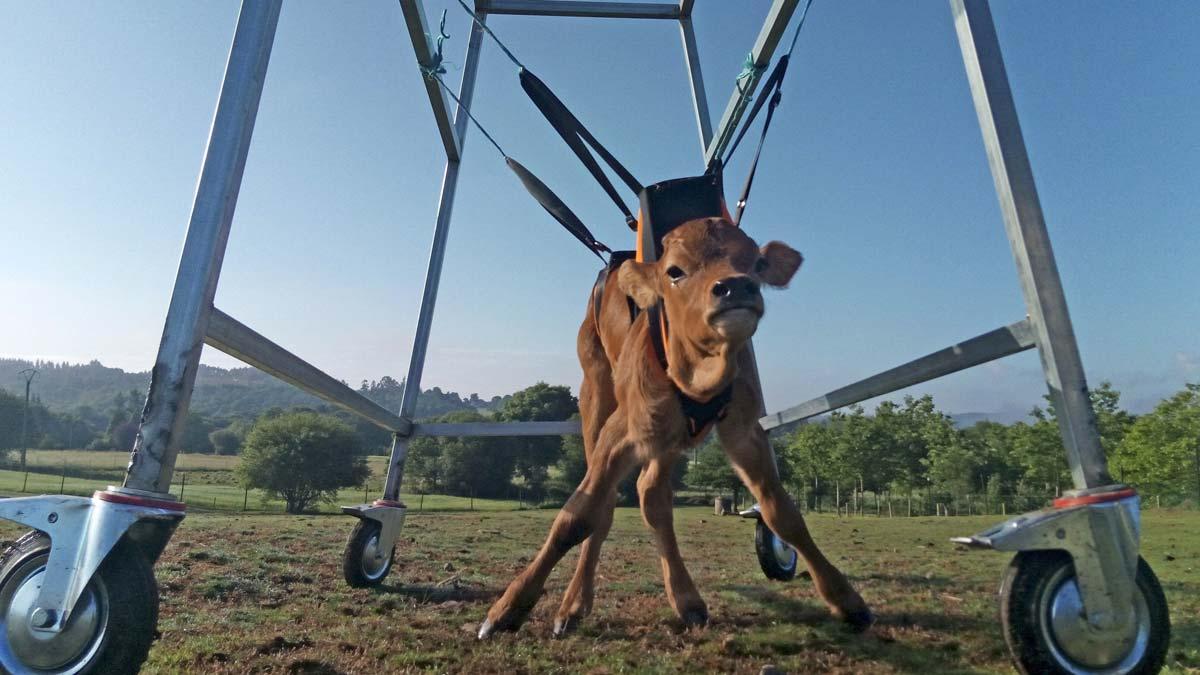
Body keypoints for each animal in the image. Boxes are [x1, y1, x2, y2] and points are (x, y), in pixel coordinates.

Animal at [477, 216, 873, 634]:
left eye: (757, 264)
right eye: (675, 271)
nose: (735, 285)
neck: (700, 374)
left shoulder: (744, 429)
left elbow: (782, 511)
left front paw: (846, 599)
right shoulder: (622, 429)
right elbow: (577, 516)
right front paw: (507, 608)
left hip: (668, 436)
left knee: (651, 495)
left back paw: (686, 600)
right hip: (595, 395)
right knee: (606, 503)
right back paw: (574, 605)